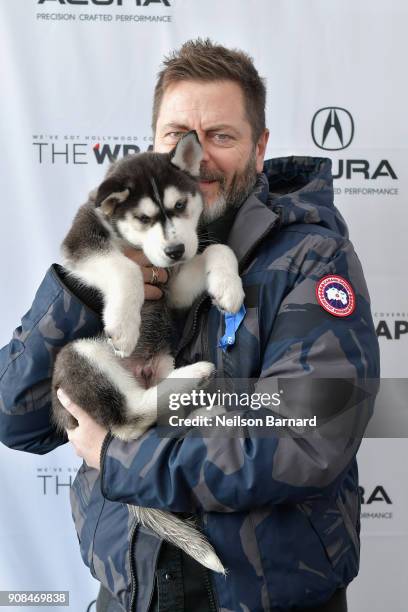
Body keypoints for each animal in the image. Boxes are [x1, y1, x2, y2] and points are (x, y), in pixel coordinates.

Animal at [51, 131, 242, 576]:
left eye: (180, 206)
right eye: (142, 218)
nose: (175, 250)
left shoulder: (176, 287)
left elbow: (217, 250)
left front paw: (228, 287)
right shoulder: (80, 240)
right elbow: (123, 268)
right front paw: (124, 322)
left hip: (162, 361)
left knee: (152, 424)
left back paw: (202, 409)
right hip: (77, 355)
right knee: (129, 421)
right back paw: (197, 377)